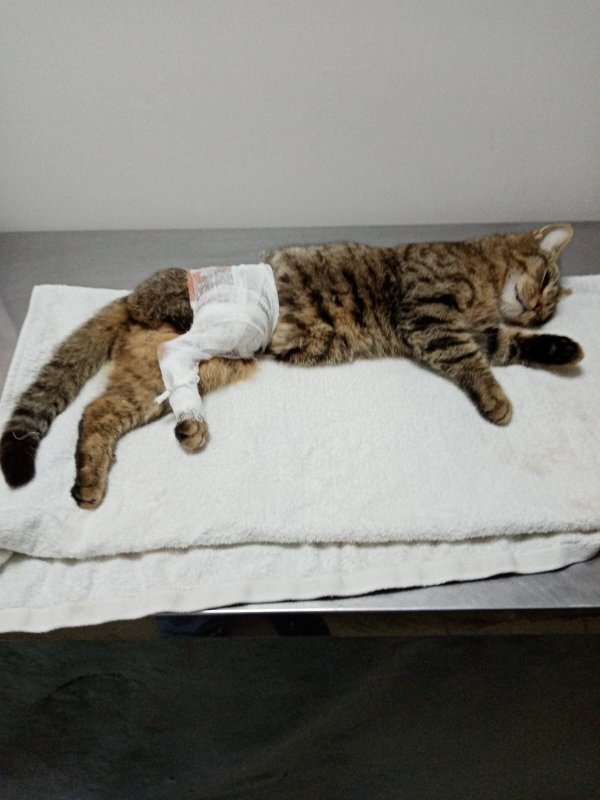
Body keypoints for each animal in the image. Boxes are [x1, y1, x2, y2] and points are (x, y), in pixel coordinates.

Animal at [0, 224, 583, 509]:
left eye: (548, 307)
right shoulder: (428, 314)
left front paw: (562, 348)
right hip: (203, 335)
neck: (484, 281)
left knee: (99, 412)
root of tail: (130, 297)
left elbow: (507, 346)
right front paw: (496, 399)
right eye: (546, 280)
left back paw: (113, 469)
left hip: (188, 371)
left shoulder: (471, 330)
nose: (537, 309)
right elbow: (474, 363)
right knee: (115, 397)